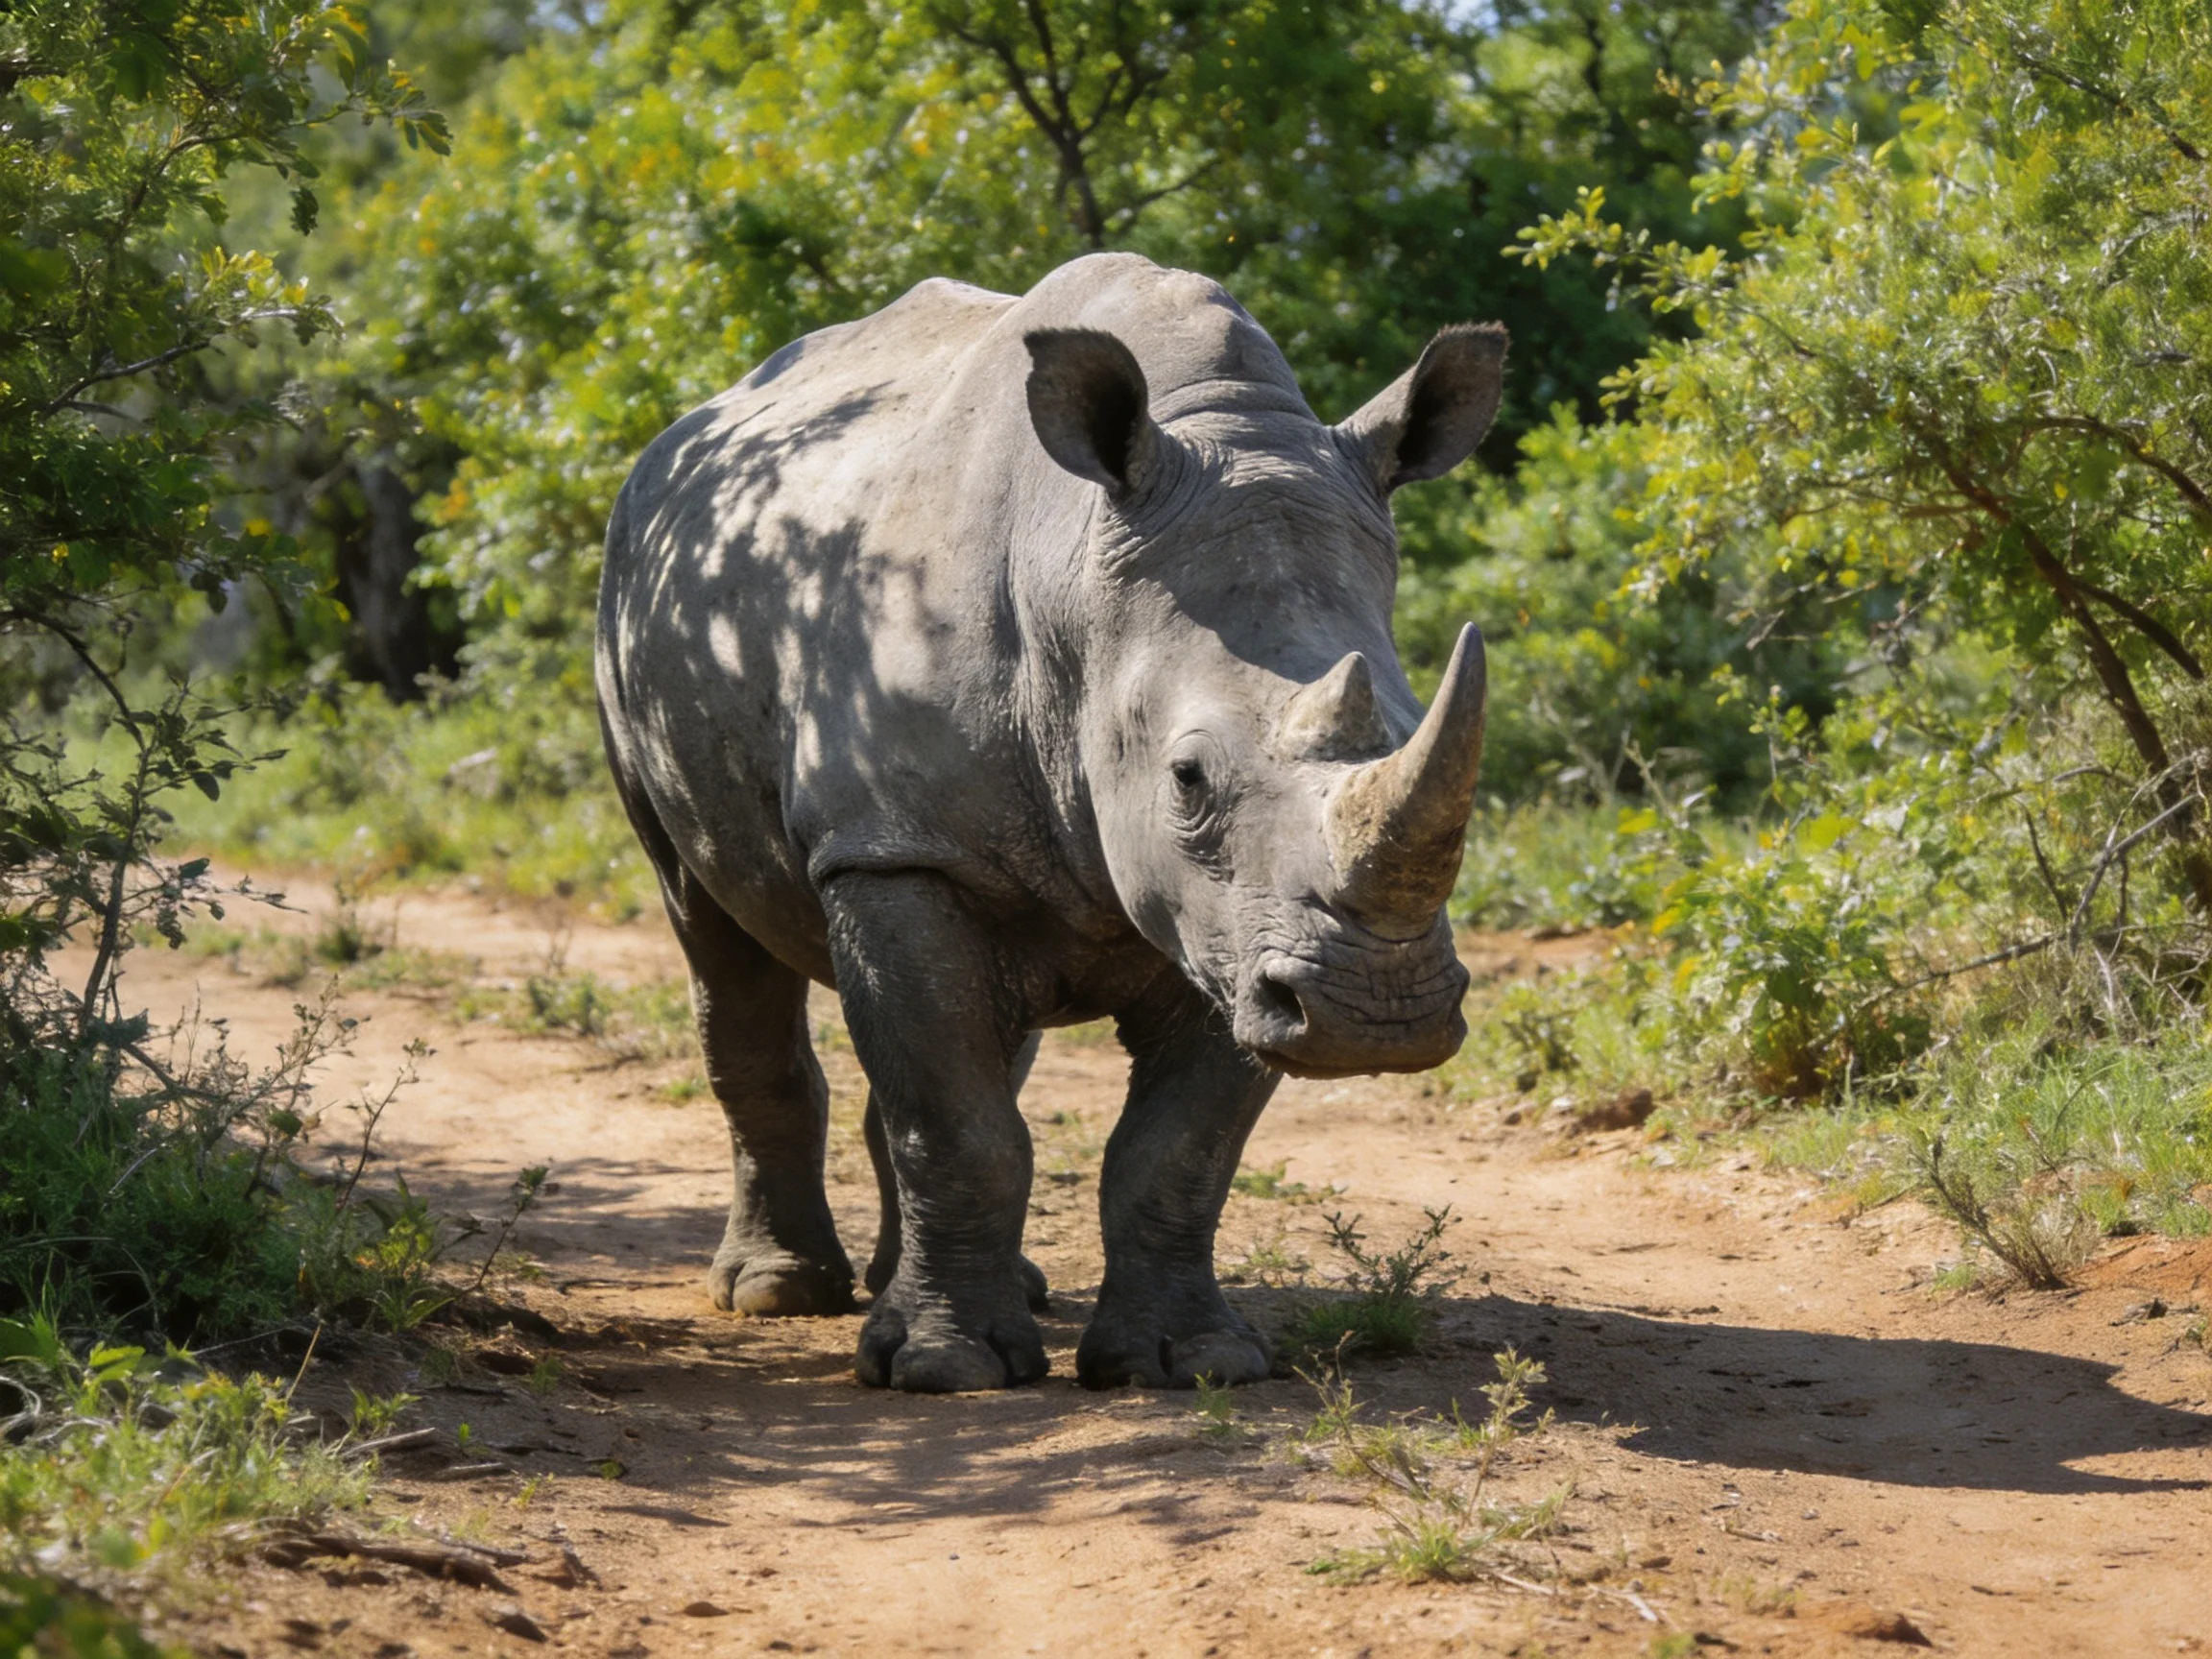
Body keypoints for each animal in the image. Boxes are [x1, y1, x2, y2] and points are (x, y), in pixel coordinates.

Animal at [596, 253, 1503, 1392]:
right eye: (1189, 779)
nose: (1378, 1016)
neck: (1075, 581)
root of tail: (682, 433)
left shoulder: (1231, 925)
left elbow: (1175, 1150)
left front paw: (1192, 1361)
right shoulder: (898, 848)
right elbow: (957, 1120)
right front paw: (945, 1370)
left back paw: (981, 1287)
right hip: (627, 623)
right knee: (710, 927)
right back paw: (776, 1295)